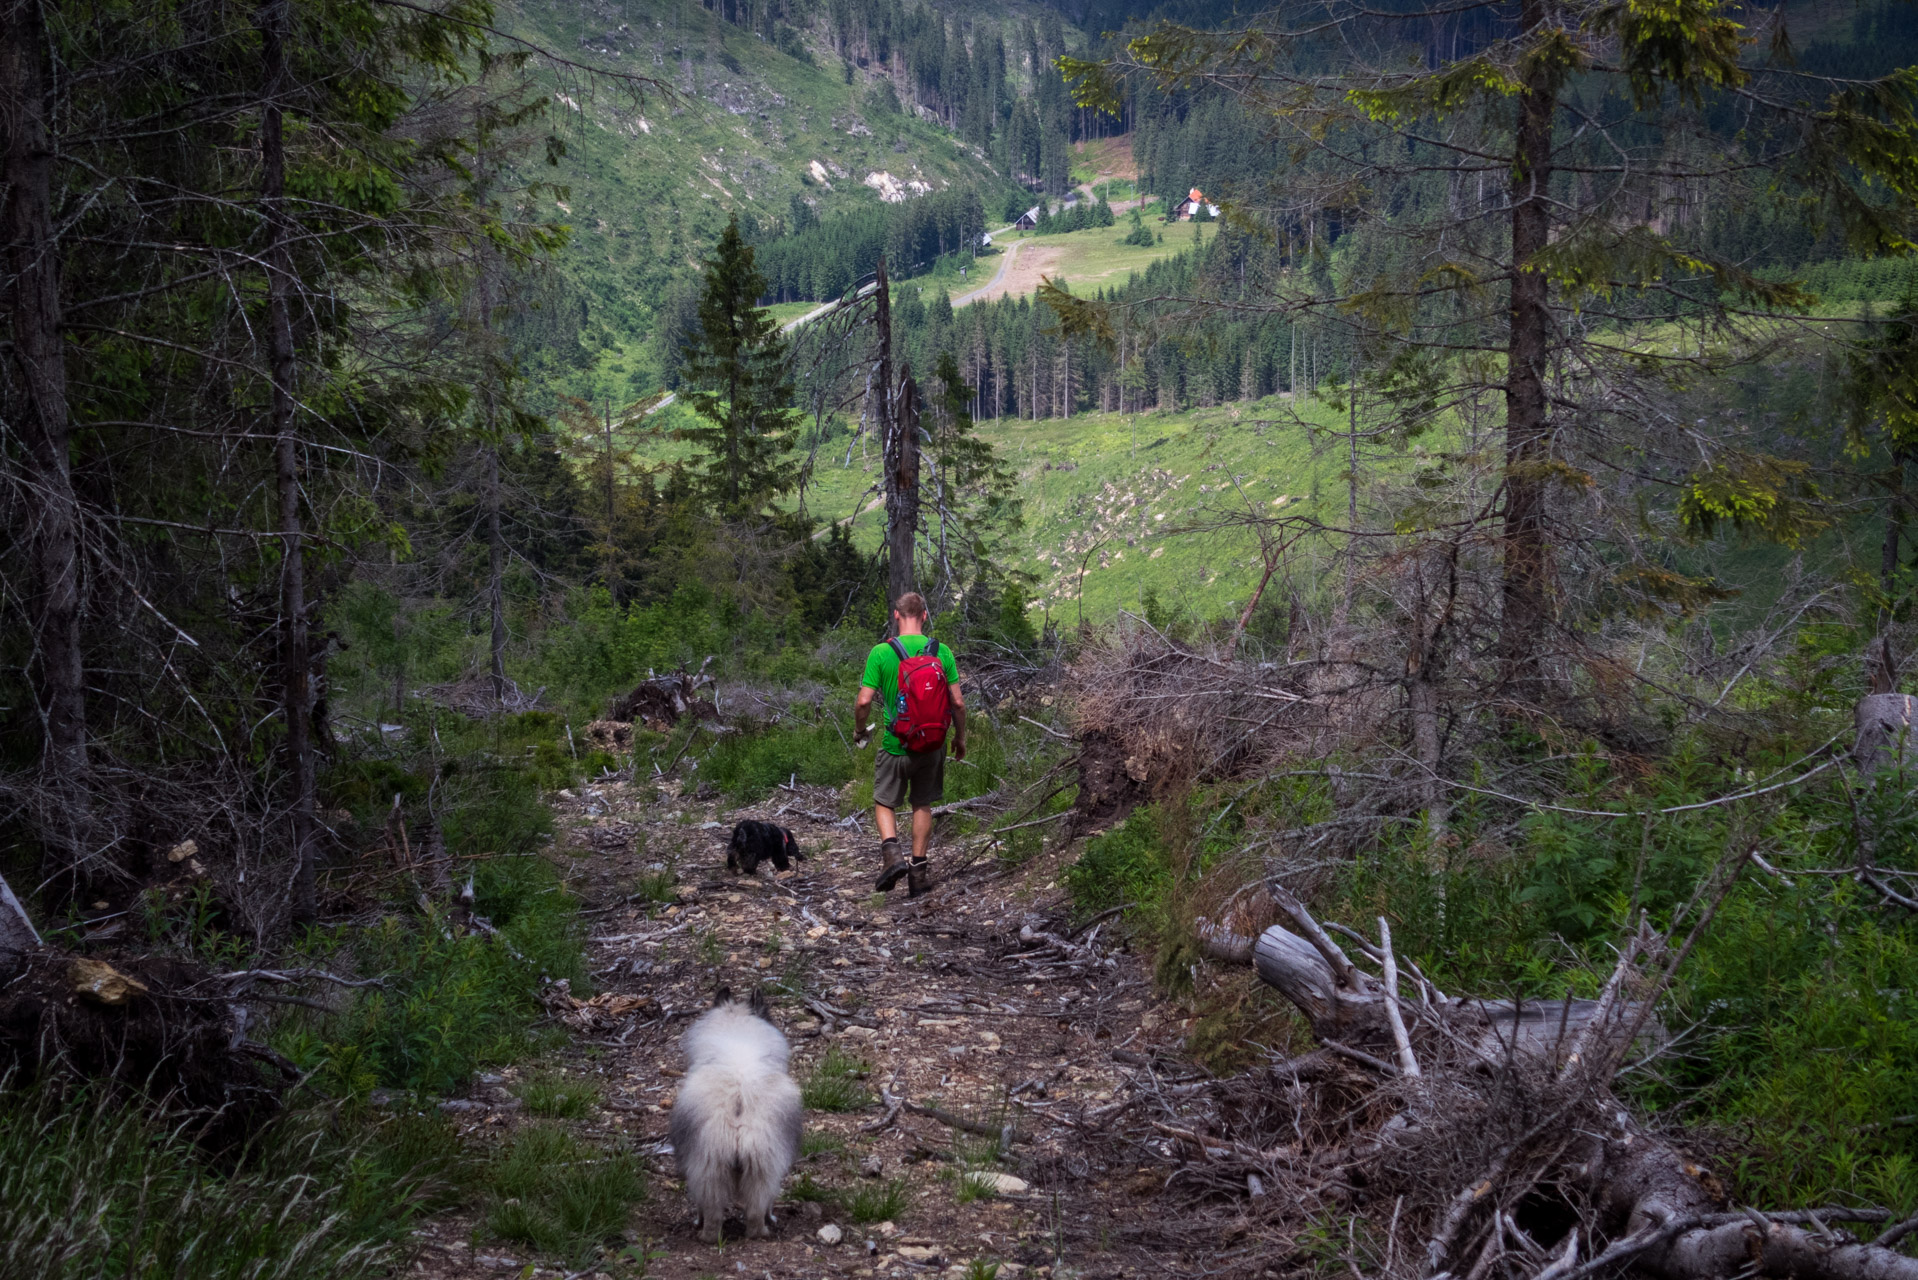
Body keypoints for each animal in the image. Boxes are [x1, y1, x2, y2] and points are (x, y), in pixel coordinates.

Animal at [667, 990, 801, 1243]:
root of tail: (738, 1118)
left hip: (709, 1169)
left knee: (711, 1213)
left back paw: (706, 1234)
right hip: (762, 1170)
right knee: (757, 1211)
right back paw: (762, 1232)